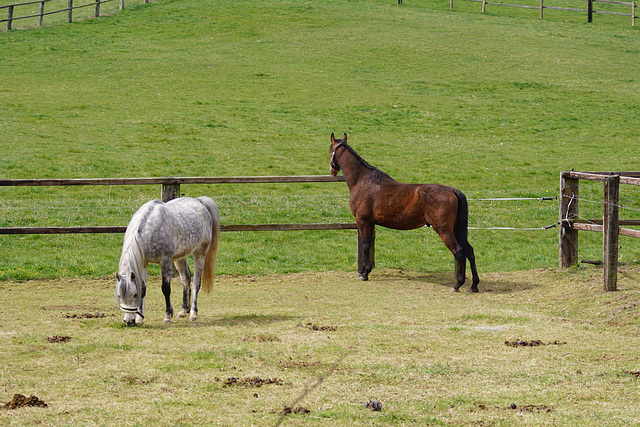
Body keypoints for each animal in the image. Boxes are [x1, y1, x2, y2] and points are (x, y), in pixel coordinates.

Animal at [116, 196, 221, 326]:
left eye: (134, 295)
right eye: (119, 295)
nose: (129, 321)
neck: (152, 229)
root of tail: (199, 201)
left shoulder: (165, 261)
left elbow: (166, 289)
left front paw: (167, 316)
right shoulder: (143, 262)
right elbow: (143, 288)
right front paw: (140, 318)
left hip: (200, 252)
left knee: (196, 282)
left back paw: (193, 313)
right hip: (180, 257)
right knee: (186, 278)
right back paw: (183, 310)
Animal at [332, 134, 478, 292]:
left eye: (330, 149)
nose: (332, 170)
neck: (363, 181)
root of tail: (453, 190)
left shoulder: (362, 221)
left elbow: (365, 245)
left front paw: (364, 274)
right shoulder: (370, 223)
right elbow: (369, 245)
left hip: (444, 230)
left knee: (459, 251)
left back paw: (457, 284)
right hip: (456, 229)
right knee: (469, 251)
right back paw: (474, 285)